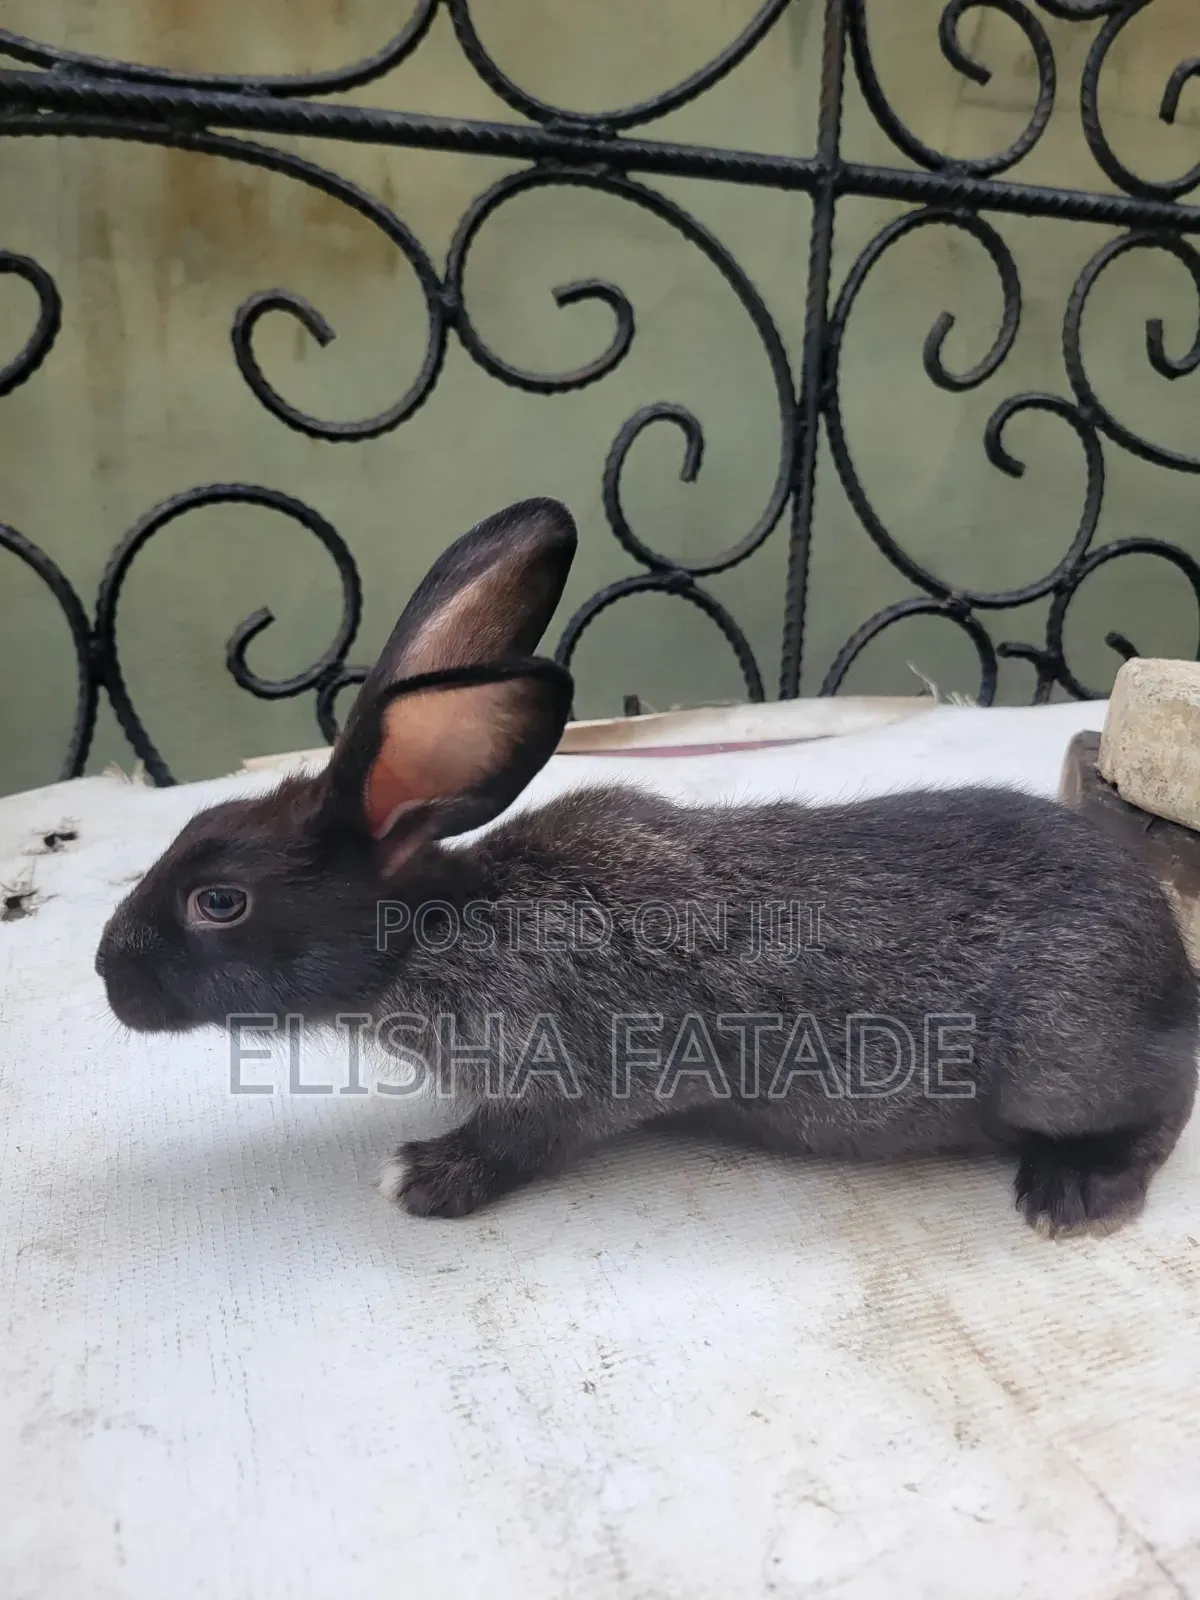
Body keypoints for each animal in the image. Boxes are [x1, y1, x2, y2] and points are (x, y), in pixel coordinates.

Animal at [95, 496, 1199, 1237]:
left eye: (220, 899)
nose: (108, 975)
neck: (440, 930)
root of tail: (1173, 976)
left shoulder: (569, 1075)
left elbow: (523, 1140)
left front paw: (422, 1176)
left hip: (1058, 1059)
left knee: (1161, 1101)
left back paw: (1072, 1193)